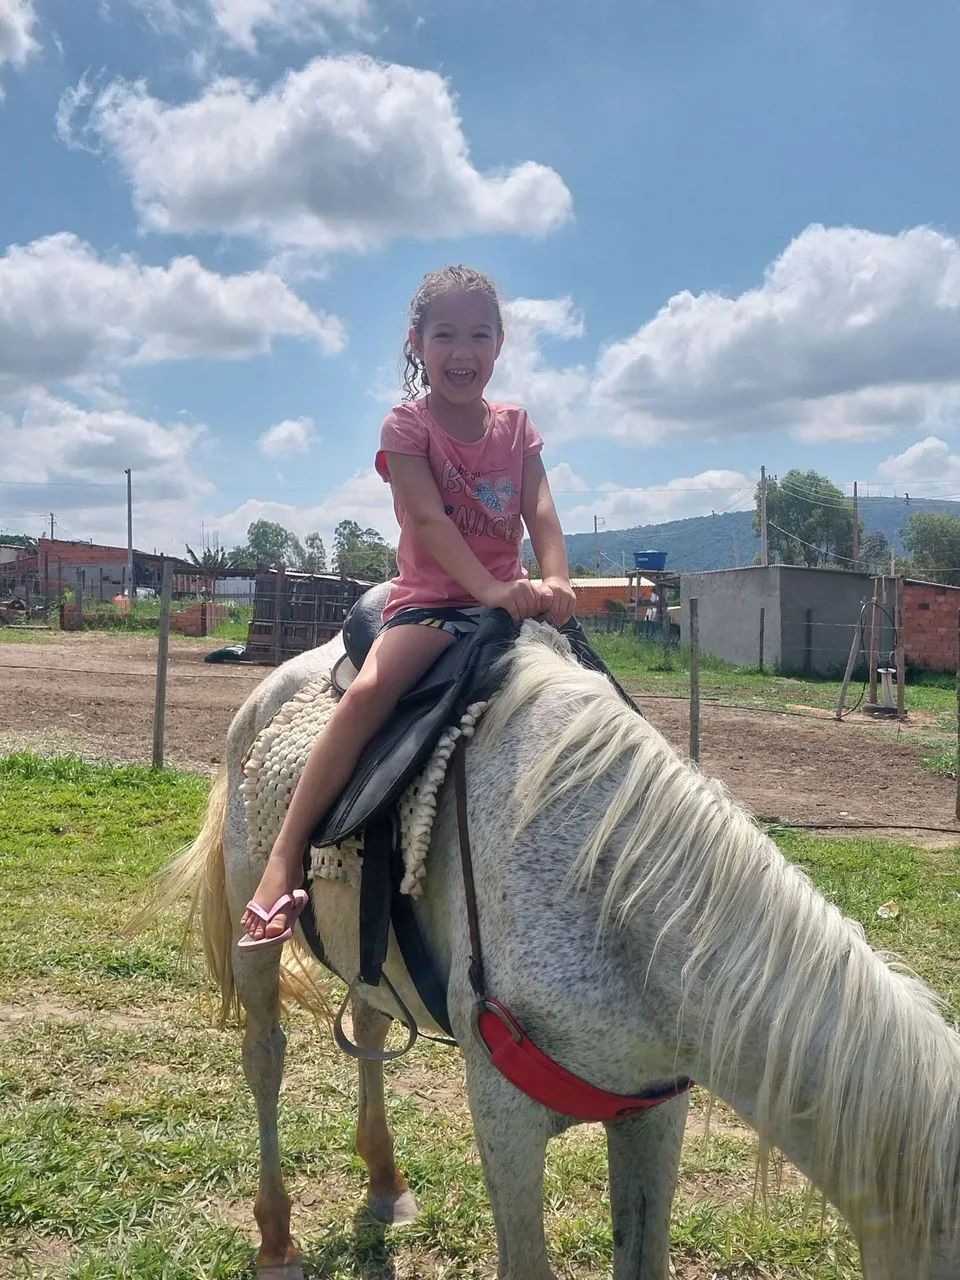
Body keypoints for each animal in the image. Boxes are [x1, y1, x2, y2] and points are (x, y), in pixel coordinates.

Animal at [152, 622, 960, 1279]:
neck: (615, 898)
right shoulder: (504, 1113)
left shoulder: (653, 1111)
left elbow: (643, 1259)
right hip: (258, 936)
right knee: (265, 1056)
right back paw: (276, 1239)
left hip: (368, 952)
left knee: (372, 1025)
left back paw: (386, 1182)